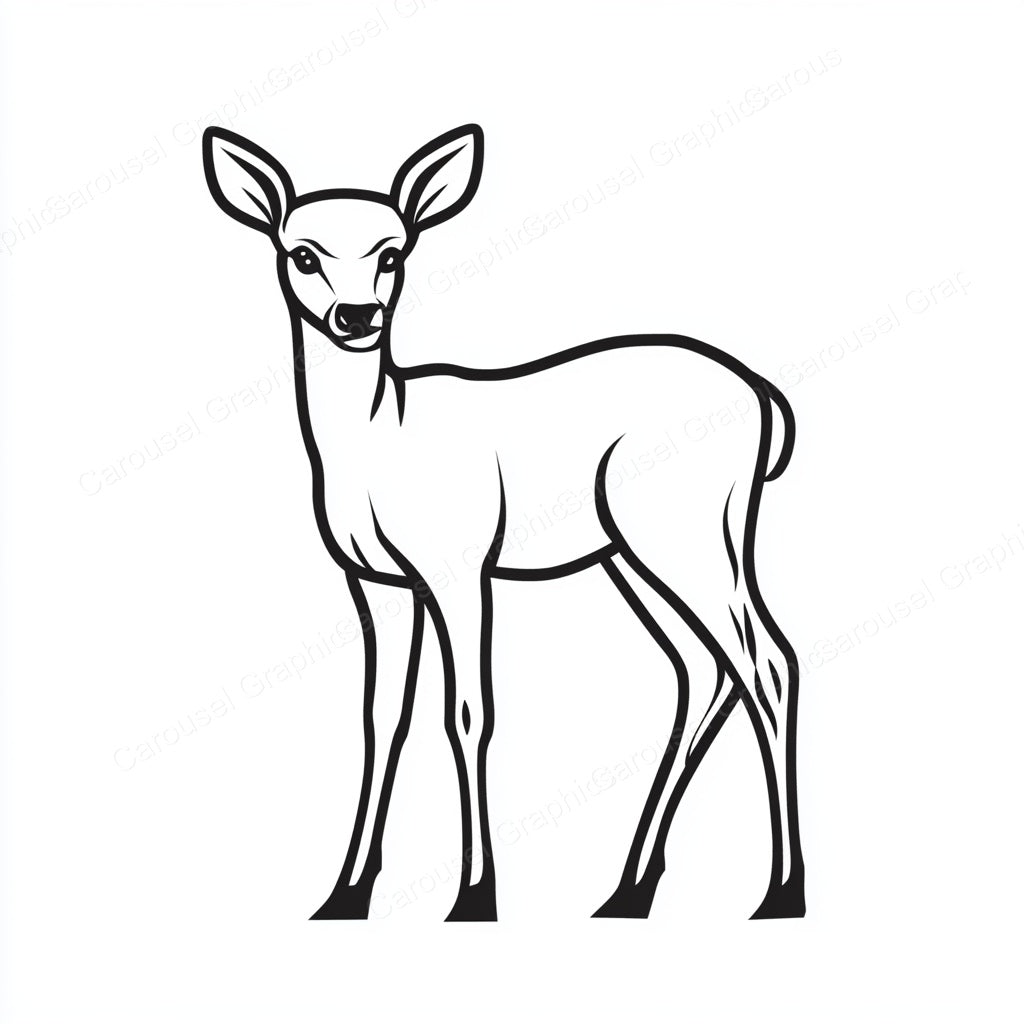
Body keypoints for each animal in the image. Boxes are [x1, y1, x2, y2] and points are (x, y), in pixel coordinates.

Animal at [202, 123, 806, 922]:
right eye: (301, 252)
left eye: (392, 252)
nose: (357, 317)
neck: (378, 439)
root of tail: (765, 398)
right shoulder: (377, 582)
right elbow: (380, 717)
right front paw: (345, 895)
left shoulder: (458, 566)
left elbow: (467, 712)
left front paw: (475, 897)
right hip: (629, 554)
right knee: (706, 669)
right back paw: (627, 891)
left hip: (689, 530)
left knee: (767, 663)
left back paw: (780, 891)